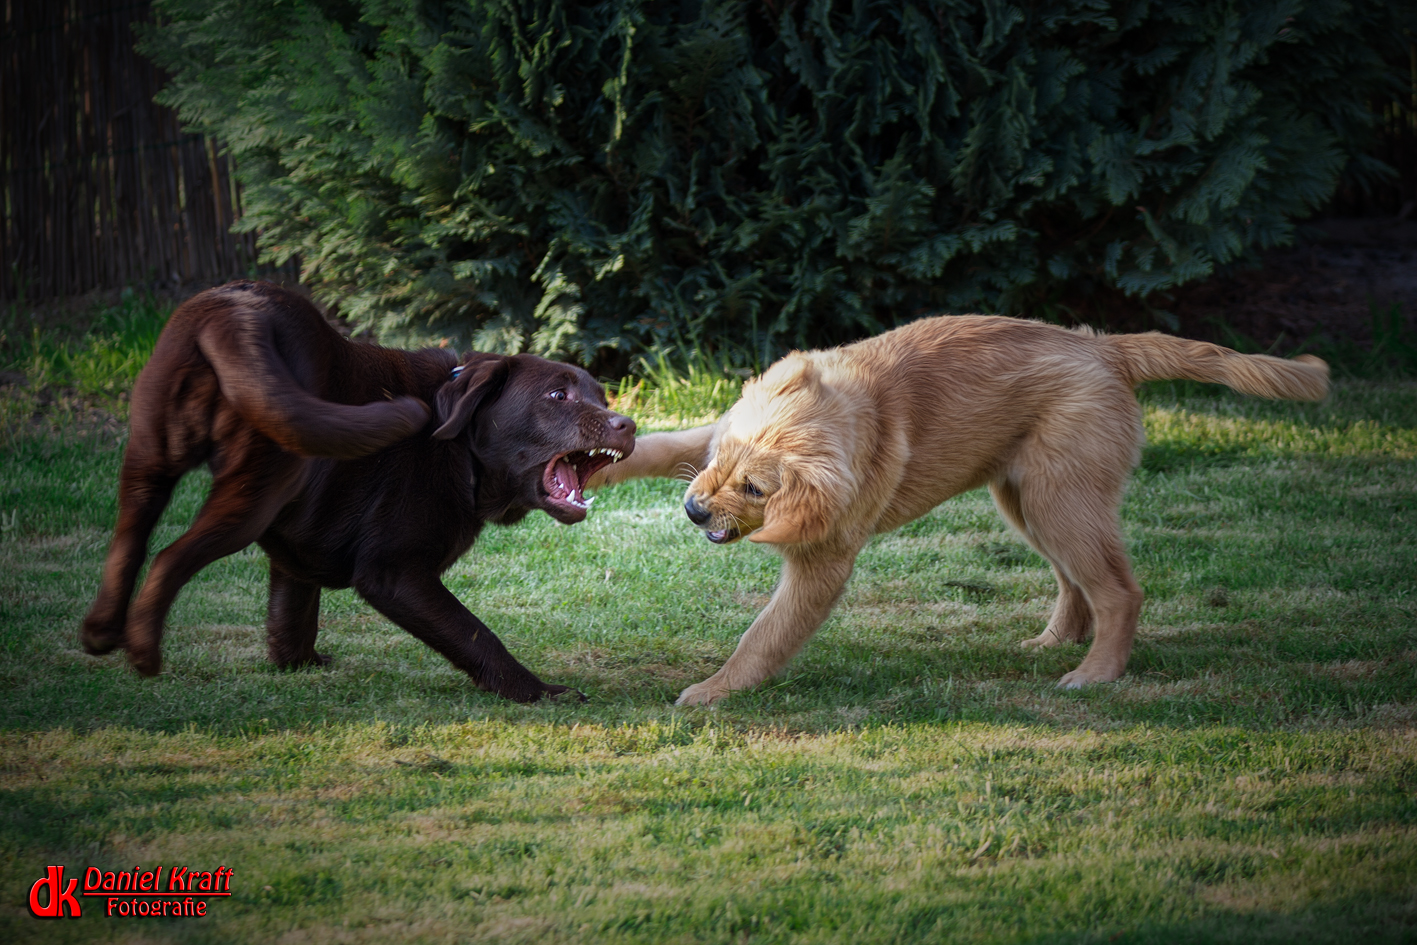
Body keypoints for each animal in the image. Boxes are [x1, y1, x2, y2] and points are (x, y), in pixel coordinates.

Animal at [77, 280, 631, 702]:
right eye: (557, 395)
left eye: (601, 395)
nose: (626, 424)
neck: (459, 444)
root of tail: (236, 309)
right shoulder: (394, 573)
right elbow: (475, 633)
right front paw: (538, 692)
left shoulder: (296, 557)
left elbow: (292, 615)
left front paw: (298, 664)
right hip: (259, 484)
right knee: (169, 556)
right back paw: (143, 651)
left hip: (151, 455)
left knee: (129, 536)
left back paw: (101, 630)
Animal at [589, 314, 1326, 705]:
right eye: (723, 461)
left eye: (756, 490)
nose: (692, 511)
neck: (850, 418)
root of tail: (1103, 345)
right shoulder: (701, 439)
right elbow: (657, 445)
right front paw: (598, 451)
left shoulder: (821, 564)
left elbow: (764, 634)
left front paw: (714, 691)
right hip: (1029, 497)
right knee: (1075, 580)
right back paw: (1056, 639)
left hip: (1060, 495)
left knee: (1118, 589)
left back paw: (1094, 673)